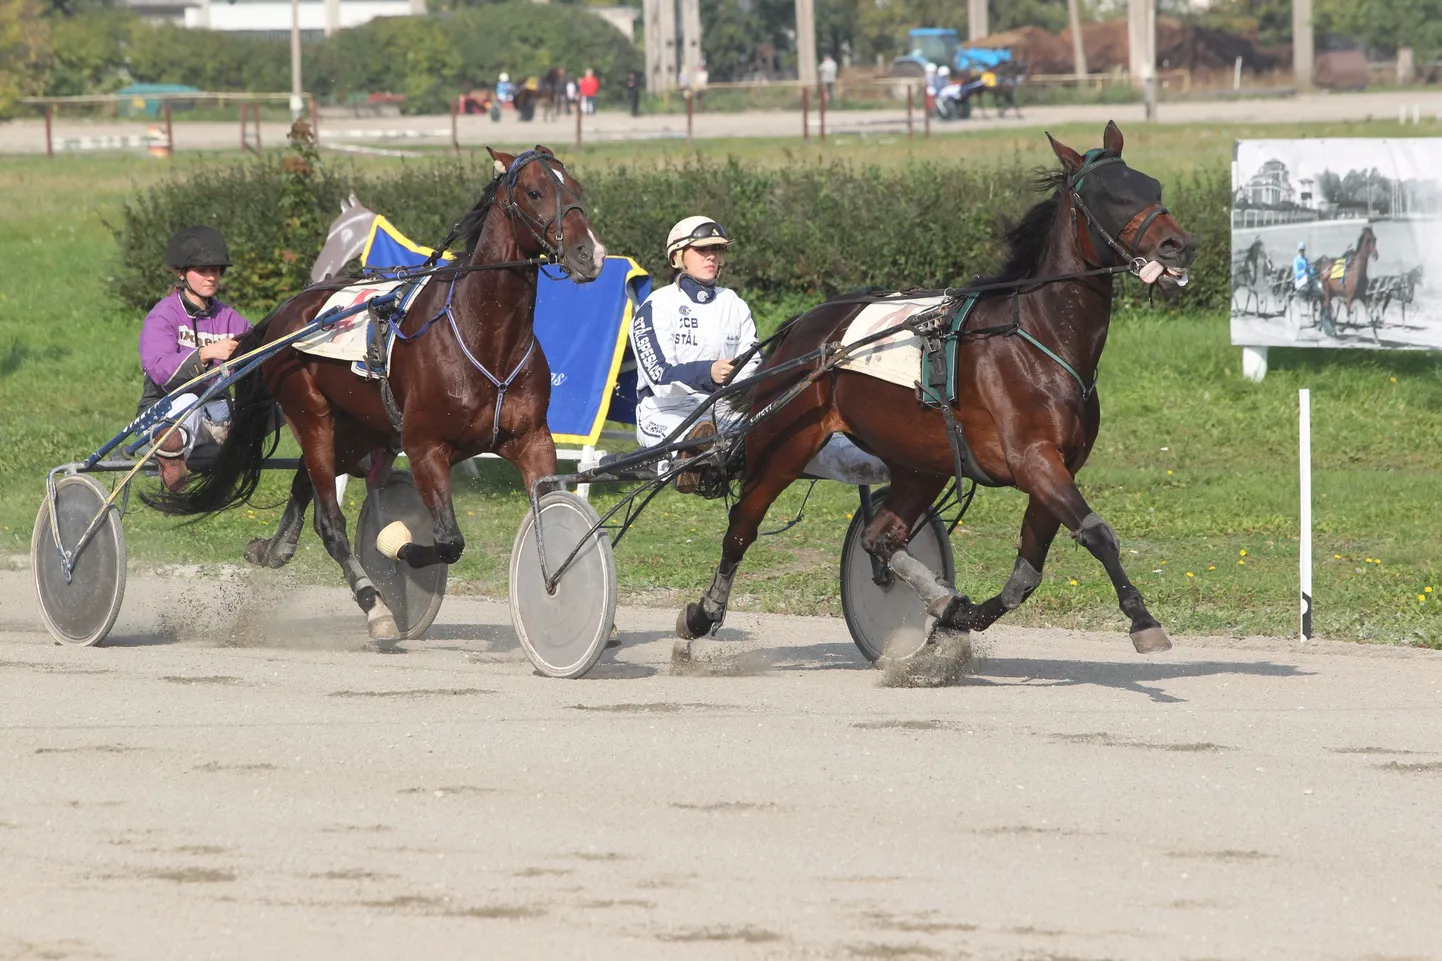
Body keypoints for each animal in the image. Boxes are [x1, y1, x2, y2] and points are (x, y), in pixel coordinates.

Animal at [152, 145, 608, 640]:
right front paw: (398, 551)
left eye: (578, 188)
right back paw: (375, 606)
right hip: (311, 415)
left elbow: (550, 510)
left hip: (357, 429)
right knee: (330, 522)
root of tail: (288, 311)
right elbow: (446, 541)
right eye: (535, 191)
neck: (486, 337)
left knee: (306, 485)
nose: (590, 253)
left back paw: (272, 549)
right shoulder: (425, 446)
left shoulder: (533, 441)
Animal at [680, 121, 1199, 652]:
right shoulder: (1034, 460)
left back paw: (941, 599)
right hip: (785, 441)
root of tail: (804, 327)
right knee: (742, 526)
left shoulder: (1058, 465)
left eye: (1154, 187)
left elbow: (1025, 575)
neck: (1037, 336)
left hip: (918, 461)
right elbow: (1096, 533)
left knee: (880, 535)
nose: (1179, 245)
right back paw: (703, 613)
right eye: (1109, 195)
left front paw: (959, 614)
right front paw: (1142, 619)